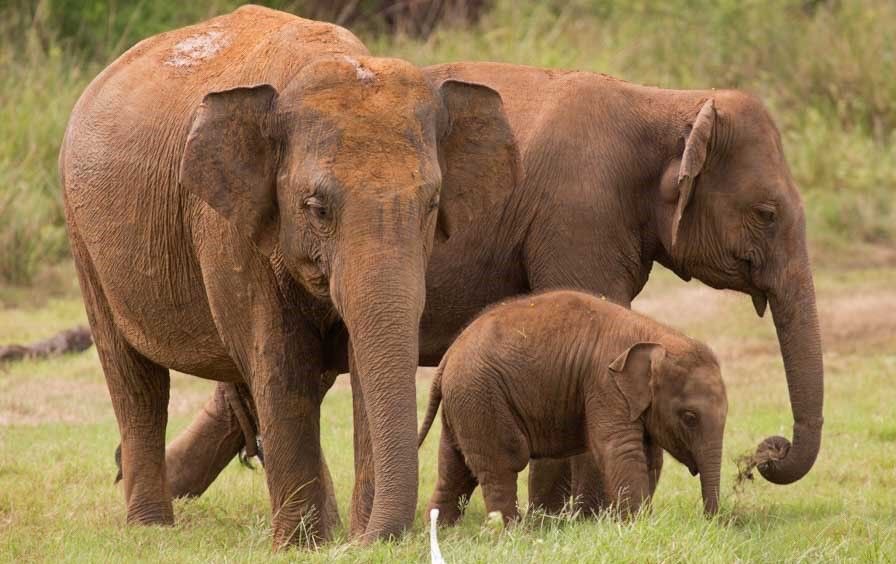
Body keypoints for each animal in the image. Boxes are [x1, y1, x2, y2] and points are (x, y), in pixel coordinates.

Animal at [59, 6, 518, 547]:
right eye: (317, 208)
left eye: (431, 204)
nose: (370, 540)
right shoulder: (227, 227)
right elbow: (279, 363)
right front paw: (302, 545)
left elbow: (356, 367)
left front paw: (348, 536)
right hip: (83, 237)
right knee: (137, 384)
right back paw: (152, 529)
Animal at [418, 290, 728, 524]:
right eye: (689, 417)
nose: (710, 522)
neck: (656, 334)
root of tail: (449, 356)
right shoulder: (604, 383)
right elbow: (620, 449)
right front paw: (637, 525)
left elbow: (651, 456)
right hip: (480, 395)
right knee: (502, 463)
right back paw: (511, 534)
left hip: (465, 402)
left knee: (454, 467)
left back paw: (441, 531)